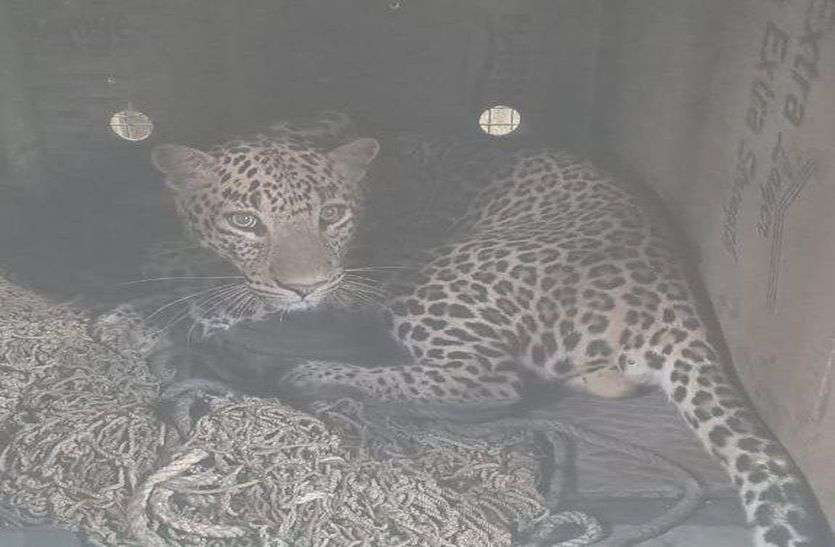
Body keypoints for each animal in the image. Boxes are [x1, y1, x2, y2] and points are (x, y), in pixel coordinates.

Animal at [147, 115, 833, 547]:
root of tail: (674, 295)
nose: (306, 284)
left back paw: (309, 374)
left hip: (442, 279)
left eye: (332, 215)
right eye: (245, 220)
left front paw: (210, 305)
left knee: (490, 385)